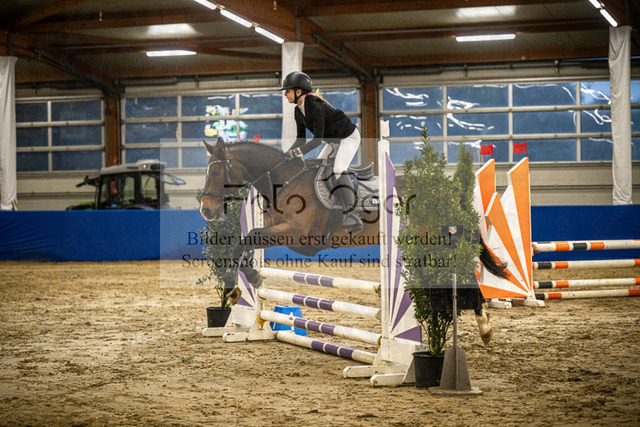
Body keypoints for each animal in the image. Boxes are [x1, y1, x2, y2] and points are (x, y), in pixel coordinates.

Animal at [199, 138, 506, 344]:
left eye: (215, 172)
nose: (206, 211)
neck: (283, 182)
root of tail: (445, 190)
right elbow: (244, 243)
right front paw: (243, 283)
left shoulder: (297, 235)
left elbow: (245, 239)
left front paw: (238, 286)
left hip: (435, 240)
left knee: (466, 273)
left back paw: (485, 327)